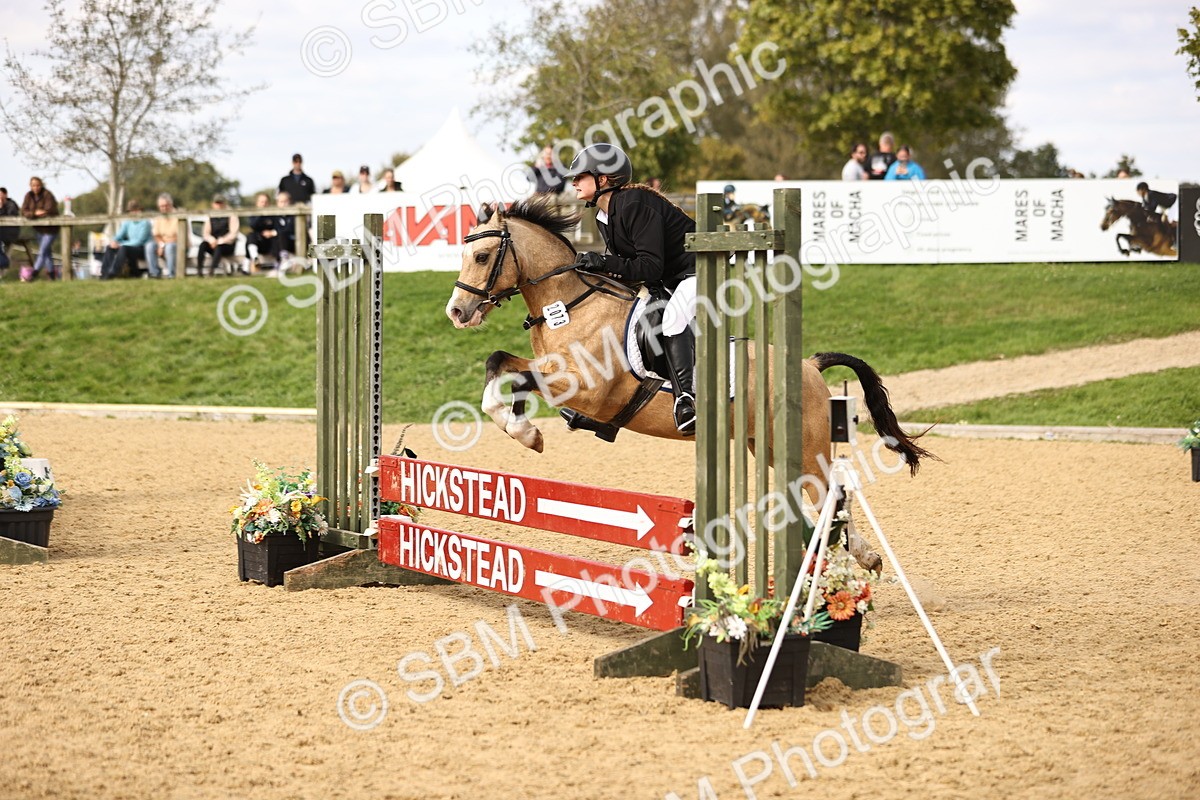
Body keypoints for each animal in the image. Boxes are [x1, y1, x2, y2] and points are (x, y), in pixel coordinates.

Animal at [444, 195, 934, 566]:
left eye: (483, 257)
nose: (457, 312)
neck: (569, 304)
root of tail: (810, 366)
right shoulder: (552, 371)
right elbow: (500, 364)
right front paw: (523, 429)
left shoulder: (588, 389)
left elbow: (516, 378)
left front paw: (525, 432)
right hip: (768, 447)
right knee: (822, 496)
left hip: (804, 447)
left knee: (832, 492)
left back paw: (857, 557)